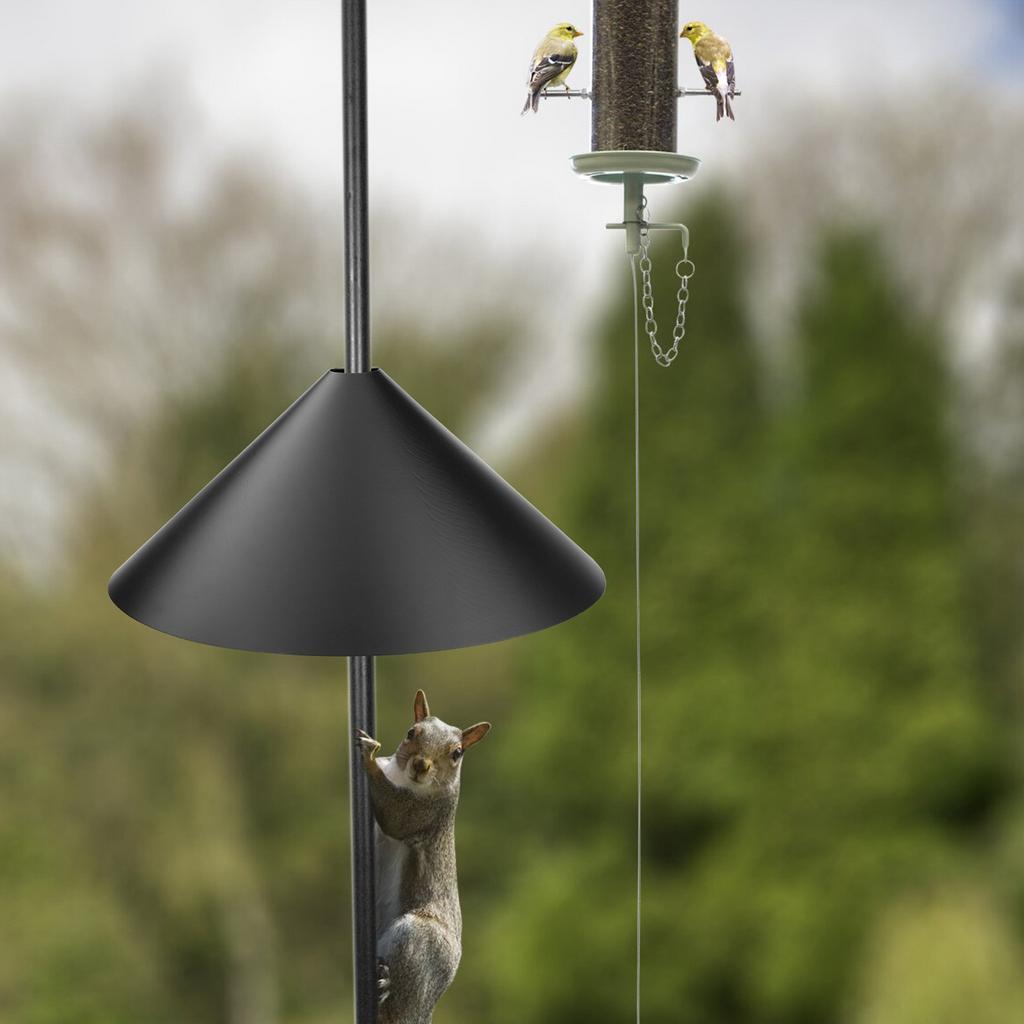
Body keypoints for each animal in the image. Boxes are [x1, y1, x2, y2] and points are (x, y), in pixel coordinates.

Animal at [356, 689, 491, 1024]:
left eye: (457, 753)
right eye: (410, 732)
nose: (421, 765)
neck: (403, 778)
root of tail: (424, 1010)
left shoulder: (425, 814)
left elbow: (394, 816)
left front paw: (368, 756)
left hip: (419, 939)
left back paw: (384, 988)